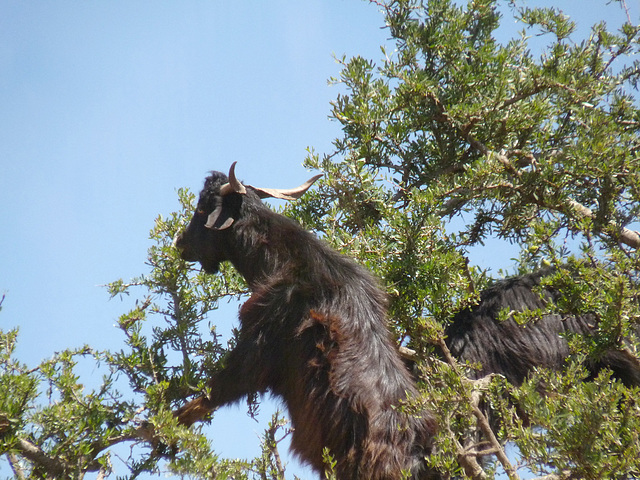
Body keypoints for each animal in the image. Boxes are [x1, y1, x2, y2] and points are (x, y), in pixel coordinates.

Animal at [171, 164, 440, 480]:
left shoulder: (259, 343)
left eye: (202, 208)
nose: (181, 243)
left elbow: (218, 390)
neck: (281, 259)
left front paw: (163, 425)